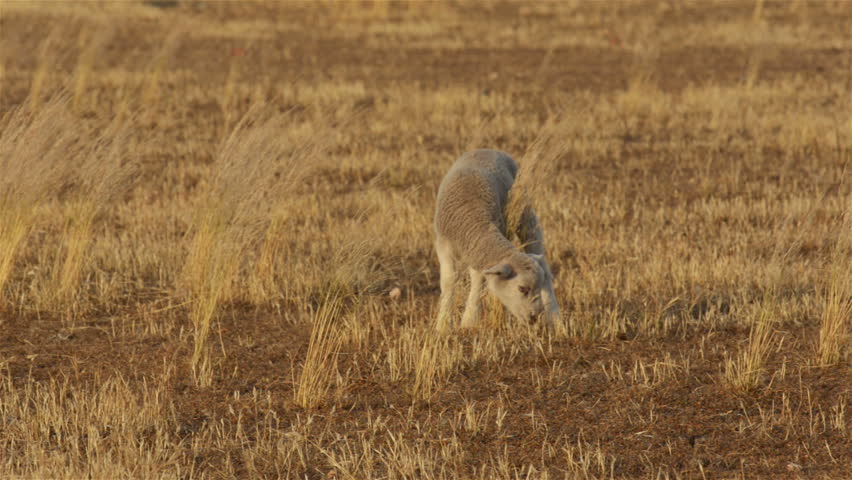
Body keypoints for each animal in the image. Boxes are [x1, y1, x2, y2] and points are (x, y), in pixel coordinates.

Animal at [433, 149, 560, 332]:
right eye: (522, 288)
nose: (534, 317)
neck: (471, 217)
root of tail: (488, 149)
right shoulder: (444, 246)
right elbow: (448, 281)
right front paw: (443, 324)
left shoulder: (480, 252)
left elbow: (478, 282)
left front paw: (469, 321)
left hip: (524, 212)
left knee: (538, 252)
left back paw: (555, 316)